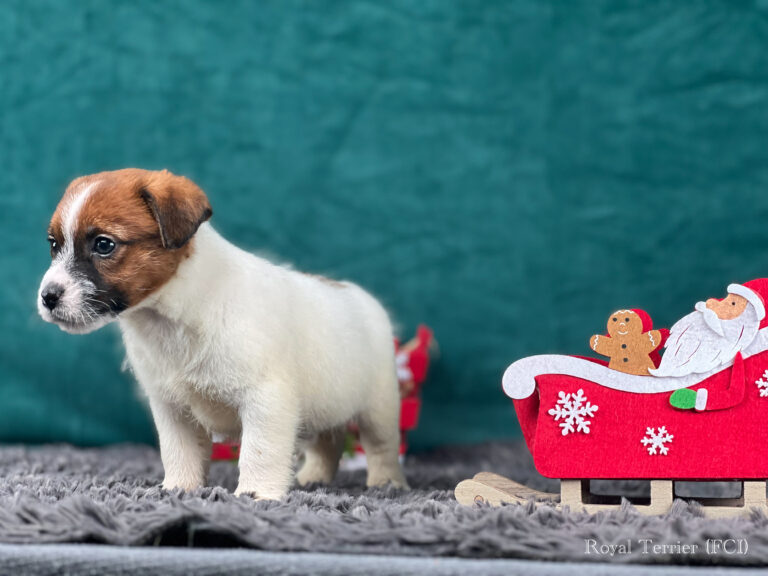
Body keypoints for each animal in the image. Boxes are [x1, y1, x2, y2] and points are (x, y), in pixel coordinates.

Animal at [37, 168, 408, 500]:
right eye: (54, 245)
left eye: (104, 244)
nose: (48, 297)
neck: (173, 316)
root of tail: (360, 295)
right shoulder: (172, 408)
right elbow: (179, 451)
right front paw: (179, 488)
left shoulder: (266, 401)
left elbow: (260, 451)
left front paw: (256, 494)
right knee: (327, 442)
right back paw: (313, 476)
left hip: (379, 408)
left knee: (381, 446)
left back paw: (387, 483)